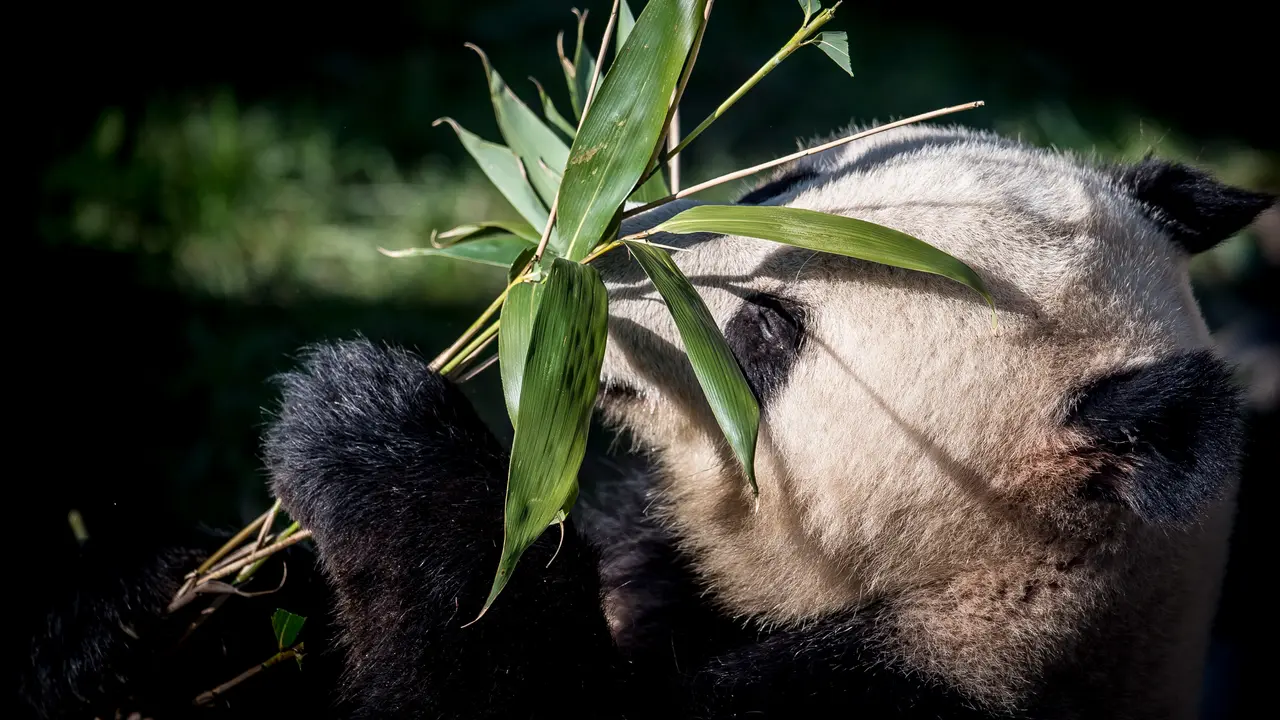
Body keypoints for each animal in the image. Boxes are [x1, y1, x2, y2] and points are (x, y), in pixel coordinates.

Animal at [19, 124, 1275, 719]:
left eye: (766, 334)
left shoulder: (909, 696)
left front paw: (367, 429)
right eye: (779, 185)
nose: (595, 268)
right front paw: (146, 617)